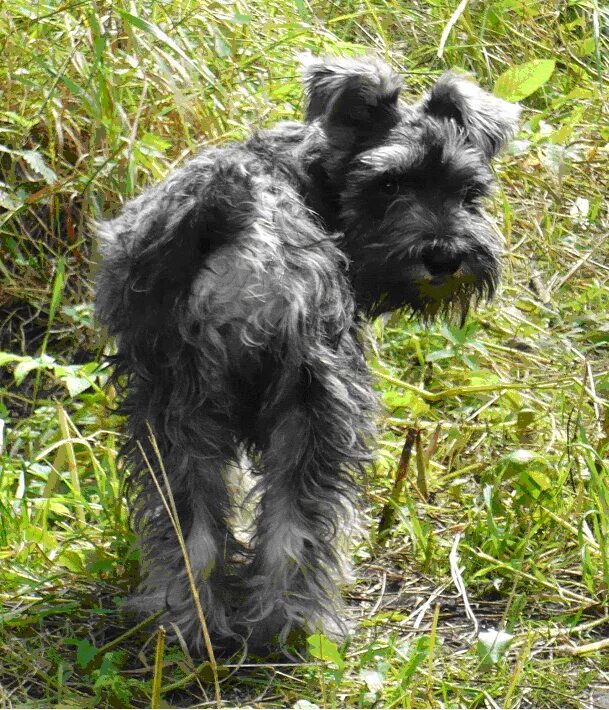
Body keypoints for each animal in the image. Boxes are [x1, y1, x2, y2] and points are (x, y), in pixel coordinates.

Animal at [95, 55, 516, 656]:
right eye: (388, 183)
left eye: (467, 189)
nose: (444, 256)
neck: (315, 180)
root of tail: (243, 220)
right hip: (319, 397)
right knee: (297, 524)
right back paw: (294, 624)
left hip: (174, 402)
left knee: (190, 522)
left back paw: (191, 620)